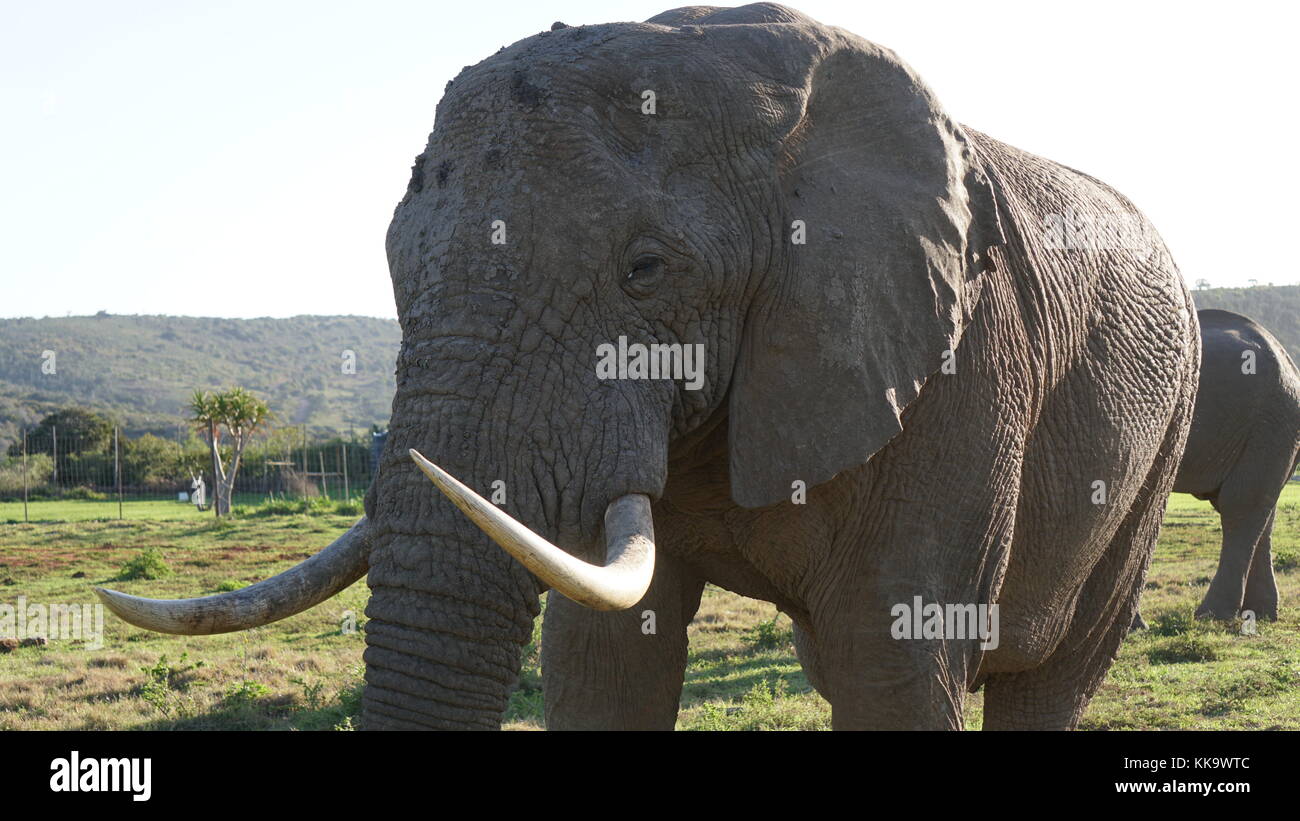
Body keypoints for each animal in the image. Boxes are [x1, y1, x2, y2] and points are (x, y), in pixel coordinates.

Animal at [94, 3, 1200, 730]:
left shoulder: (957, 369)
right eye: (395, 263)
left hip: (1161, 435)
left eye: (645, 269)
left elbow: (889, 657)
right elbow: (605, 660)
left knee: (1049, 673)